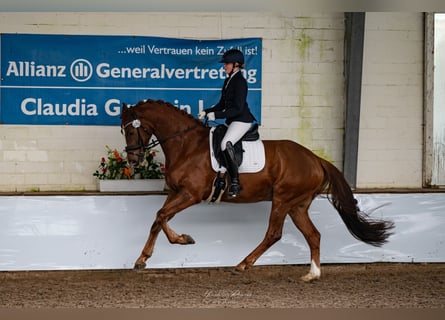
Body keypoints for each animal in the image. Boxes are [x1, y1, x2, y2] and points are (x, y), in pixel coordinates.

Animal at [119, 99, 392, 282]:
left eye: (131, 130)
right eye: (123, 131)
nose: (133, 161)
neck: (186, 144)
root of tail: (315, 159)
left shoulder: (191, 194)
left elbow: (161, 216)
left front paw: (172, 244)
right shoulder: (177, 193)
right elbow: (160, 218)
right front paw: (154, 252)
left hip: (282, 199)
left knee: (274, 233)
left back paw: (242, 264)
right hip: (298, 205)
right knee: (313, 235)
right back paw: (312, 274)